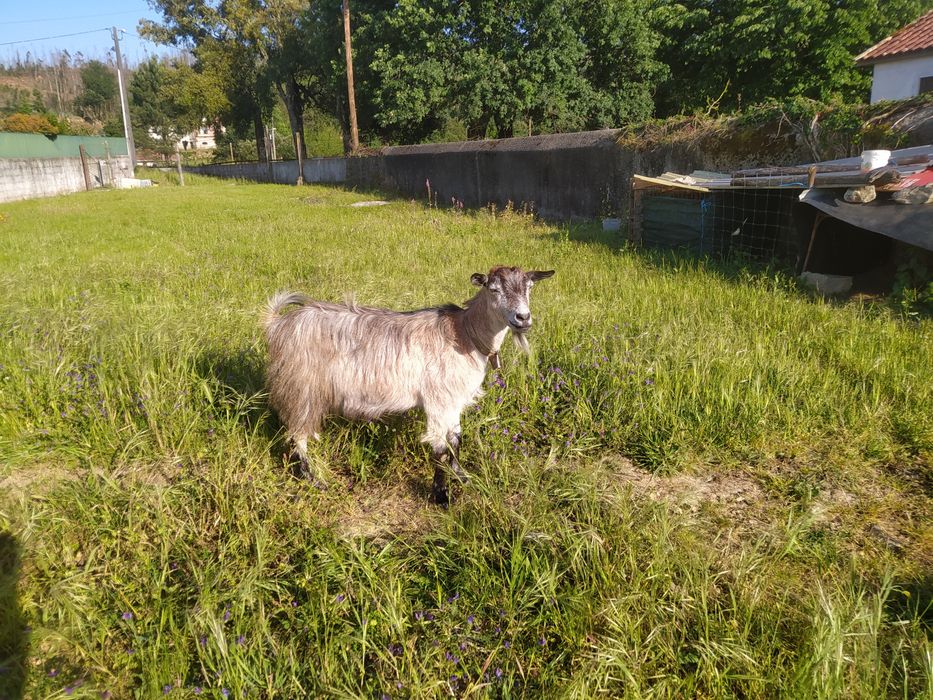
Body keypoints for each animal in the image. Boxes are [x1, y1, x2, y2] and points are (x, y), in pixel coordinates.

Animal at [263, 266, 555, 506]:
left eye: (529, 287)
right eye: (493, 289)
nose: (523, 318)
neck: (466, 334)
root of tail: (278, 324)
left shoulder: (454, 402)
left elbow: (455, 440)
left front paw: (462, 476)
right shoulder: (439, 400)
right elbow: (440, 448)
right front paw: (442, 497)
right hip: (302, 387)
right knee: (298, 434)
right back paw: (314, 479)